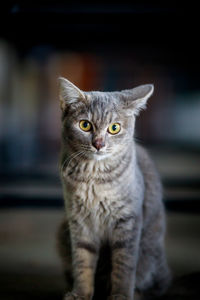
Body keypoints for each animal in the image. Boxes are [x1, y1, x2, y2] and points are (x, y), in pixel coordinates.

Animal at [57, 78, 170, 300]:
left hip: (150, 256)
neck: (93, 177)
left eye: (114, 128)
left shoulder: (128, 220)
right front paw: (80, 293)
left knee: (156, 285)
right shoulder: (78, 221)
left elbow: (123, 265)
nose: (98, 143)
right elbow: (82, 261)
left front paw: (121, 295)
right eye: (85, 125)